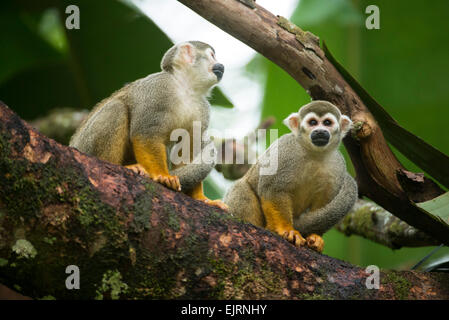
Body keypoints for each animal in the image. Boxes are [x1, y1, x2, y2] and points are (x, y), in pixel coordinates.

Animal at [70, 40, 228, 210]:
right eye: (212, 56)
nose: (221, 65)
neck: (185, 89)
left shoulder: (202, 109)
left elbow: (187, 151)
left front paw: (200, 199)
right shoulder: (158, 90)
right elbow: (145, 134)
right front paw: (162, 175)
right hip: (85, 145)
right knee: (117, 108)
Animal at [224, 100, 356, 252]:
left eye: (327, 122)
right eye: (312, 122)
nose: (320, 131)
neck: (314, 153)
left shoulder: (338, 165)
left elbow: (323, 203)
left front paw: (315, 236)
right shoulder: (285, 150)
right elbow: (273, 189)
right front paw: (288, 230)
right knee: (241, 188)